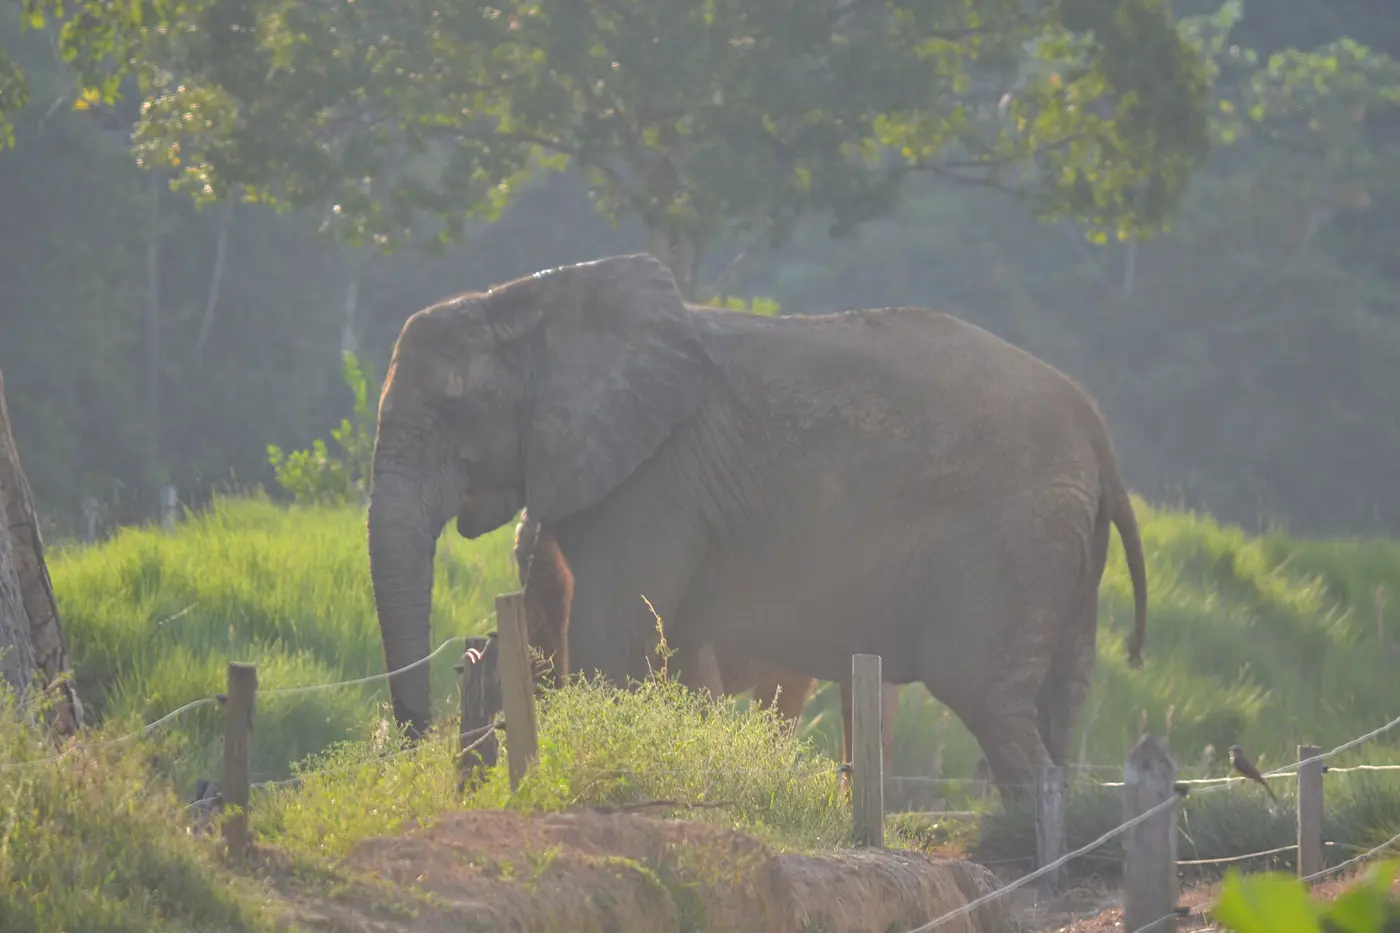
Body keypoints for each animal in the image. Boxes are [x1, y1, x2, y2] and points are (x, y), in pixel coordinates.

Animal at [367, 252, 1148, 802]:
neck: (530, 304)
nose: (407, 743)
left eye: (459, 410)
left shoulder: (656, 480)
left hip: (1018, 532)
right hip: (1064, 540)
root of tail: (1098, 429)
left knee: (984, 691)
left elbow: (609, 636)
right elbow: (659, 644)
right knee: (1057, 695)